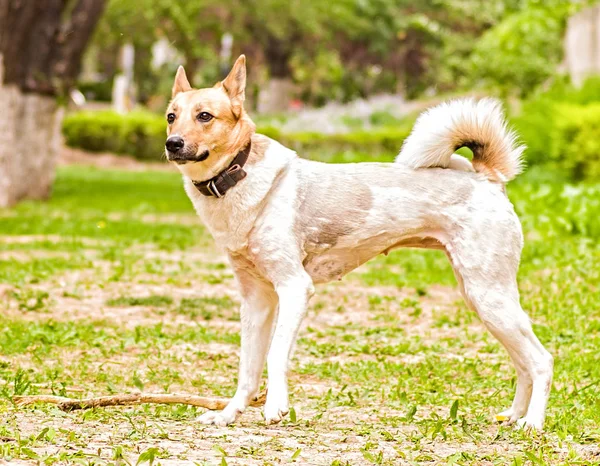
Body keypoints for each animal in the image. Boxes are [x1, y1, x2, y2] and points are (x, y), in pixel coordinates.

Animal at [163, 57, 552, 430]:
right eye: (171, 116)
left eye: (205, 116)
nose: (172, 143)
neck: (238, 176)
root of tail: (487, 178)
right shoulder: (257, 300)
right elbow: (247, 367)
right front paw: (228, 415)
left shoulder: (294, 288)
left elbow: (274, 355)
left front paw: (275, 406)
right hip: (483, 302)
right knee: (523, 363)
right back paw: (513, 417)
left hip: (491, 298)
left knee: (541, 360)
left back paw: (532, 423)